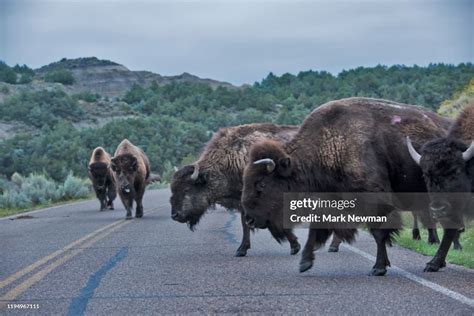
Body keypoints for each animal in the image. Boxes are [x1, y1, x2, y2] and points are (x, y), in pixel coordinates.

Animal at [170, 123, 300, 256]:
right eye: (173, 189)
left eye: (186, 189)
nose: (175, 215)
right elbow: (245, 224)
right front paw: (242, 249)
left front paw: (295, 246)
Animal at [243, 97, 450, 276]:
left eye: (262, 183)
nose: (249, 219)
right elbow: (316, 230)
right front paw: (304, 263)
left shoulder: (375, 203)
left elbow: (379, 233)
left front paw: (378, 268)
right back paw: (435, 264)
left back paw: (432, 264)